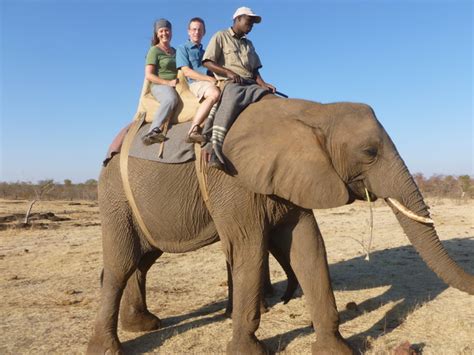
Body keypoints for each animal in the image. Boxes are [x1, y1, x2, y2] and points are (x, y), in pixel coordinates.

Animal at [87, 96, 472, 355]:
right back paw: (110, 347)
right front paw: (248, 351)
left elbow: (308, 247)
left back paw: (143, 324)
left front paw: (335, 350)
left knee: (142, 258)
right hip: (115, 196)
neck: (314, 111)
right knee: (122, 263)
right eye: (369, 153)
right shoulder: (232, 178)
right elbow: (249, 249)